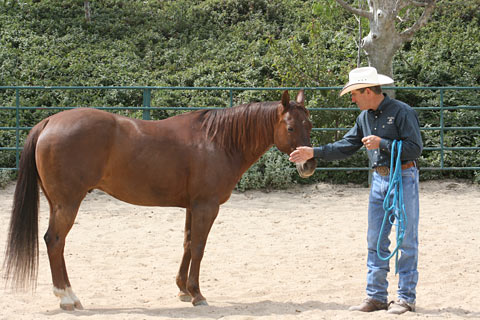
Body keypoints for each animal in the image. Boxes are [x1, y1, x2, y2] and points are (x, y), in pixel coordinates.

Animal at [4, 89, 318, 308]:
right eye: (291, 128)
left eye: (310, 125)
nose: (309, 165)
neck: (216, 141)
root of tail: (49, 122)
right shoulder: (207, 206)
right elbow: (199, 247)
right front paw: (197, 294)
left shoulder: (193, 206)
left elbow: (188, 244)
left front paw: (182, 289)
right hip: (68, 204)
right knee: (55, 241)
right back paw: (67, 297)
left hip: (57, 203)